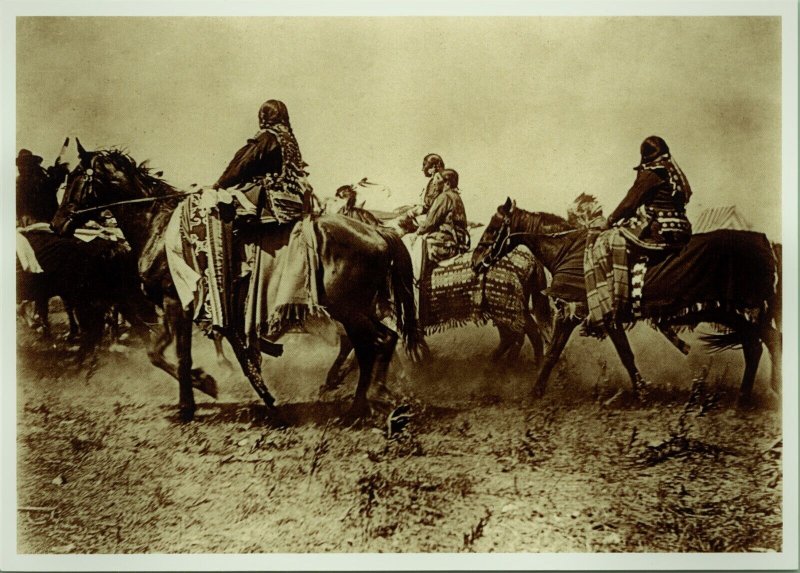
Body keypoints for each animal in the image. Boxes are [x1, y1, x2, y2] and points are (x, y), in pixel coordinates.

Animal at [52, 141, 422, 422]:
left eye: (76, 179)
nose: (57, 223)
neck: (160, 227)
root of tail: (378, 232)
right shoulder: (176, 306)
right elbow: (158, 351)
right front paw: (205, 384)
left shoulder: (177, 302)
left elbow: (173, 355)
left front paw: (191, 401)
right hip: (356, 308)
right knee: (377, 342)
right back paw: (364, 399)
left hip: (349, 308)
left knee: (374, 343)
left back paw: (363, 402)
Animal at [476, 199, 780, 404]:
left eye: (493, 227)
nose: (476, 261)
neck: (568, 251)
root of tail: (767, 244)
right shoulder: (605, 318)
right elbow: (623, 353)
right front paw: (641, 390)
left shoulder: (577, 314)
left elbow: (557, 353)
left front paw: (534, 391)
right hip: (734, 311)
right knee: (764, 341)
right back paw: (755, 394)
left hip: (732, 308)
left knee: (761, 342)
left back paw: (755, 393)